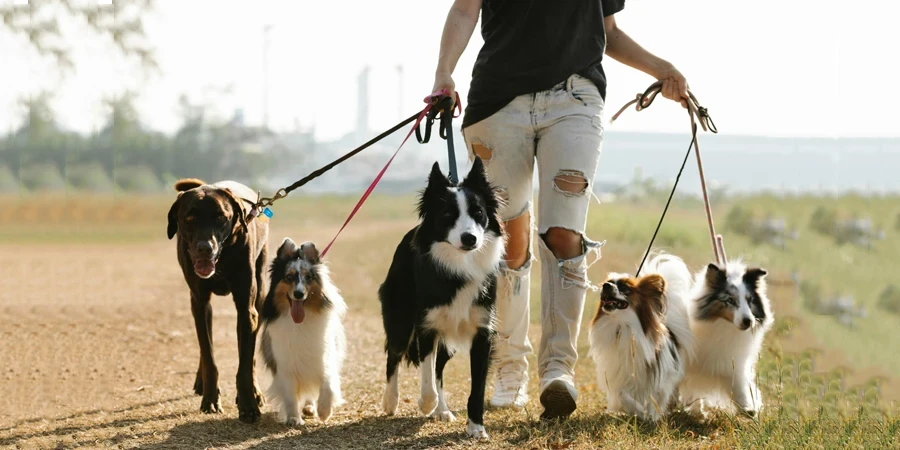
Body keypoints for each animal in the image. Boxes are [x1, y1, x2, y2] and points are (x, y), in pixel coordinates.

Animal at [167, 178, 268, 422]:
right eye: (189, 218)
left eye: (221, 217)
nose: (205, 248)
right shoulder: (200, 302)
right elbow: (209, 357)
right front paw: (211, 399)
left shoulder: (246, 308)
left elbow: (245, 364)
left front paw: (249, 405)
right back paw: (201, 381)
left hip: (259, 295)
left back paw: (255, 391)